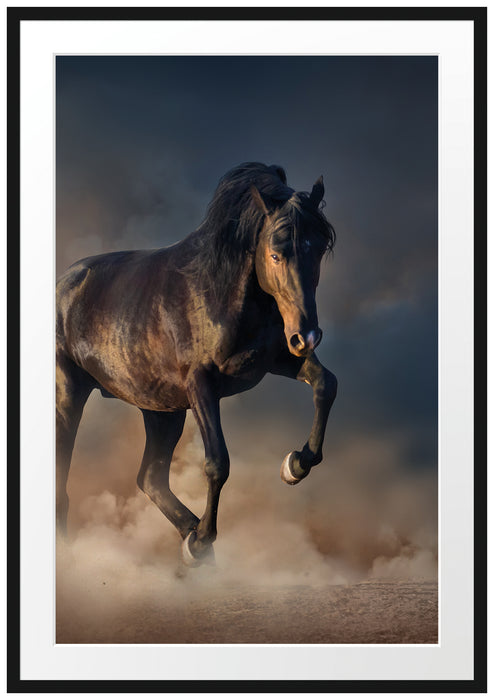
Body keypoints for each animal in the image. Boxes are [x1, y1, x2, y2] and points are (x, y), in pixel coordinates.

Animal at [56, 162, 337, 568]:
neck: (220, 293)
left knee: (151, 477)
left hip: (162, 410)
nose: (308, 336)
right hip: (70, 394)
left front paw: (296, 464)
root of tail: (63, 283)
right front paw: (203, 539)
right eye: (275, 253)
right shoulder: (201, 385)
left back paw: (191, 539)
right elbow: (217, 462)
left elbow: (326, 384)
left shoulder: (278, 360)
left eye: (319, 249)